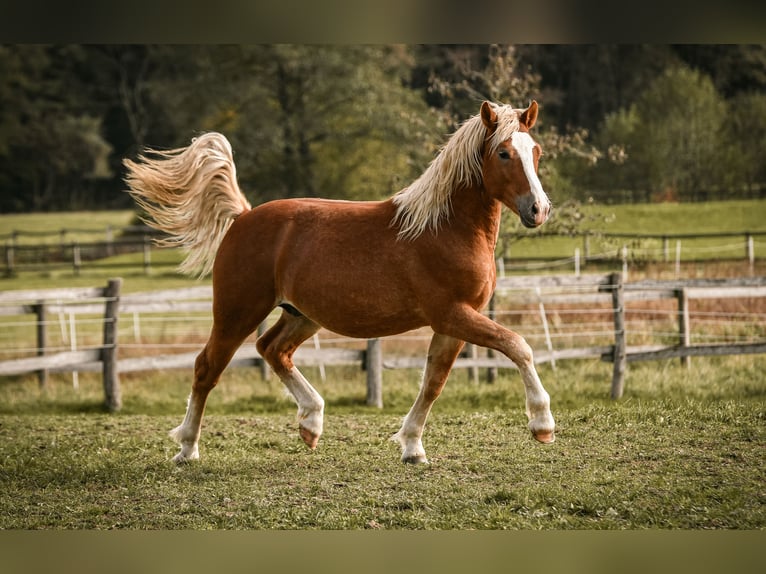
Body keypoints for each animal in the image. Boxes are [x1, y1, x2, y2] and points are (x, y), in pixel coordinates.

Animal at [124, 100, 556, 464]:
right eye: (504, 153)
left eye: (535, 152)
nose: (539, 209)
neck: (444, 228)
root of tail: (243, 216)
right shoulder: (452, 315)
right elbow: (518, 346)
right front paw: (542, 425)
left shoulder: (454, 323)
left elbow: (433, 382)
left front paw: (412, 447)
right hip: (237, 313)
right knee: (206, 368)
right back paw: (187, 450)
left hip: (301, 314)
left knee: (272, 349)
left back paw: (311, 423)